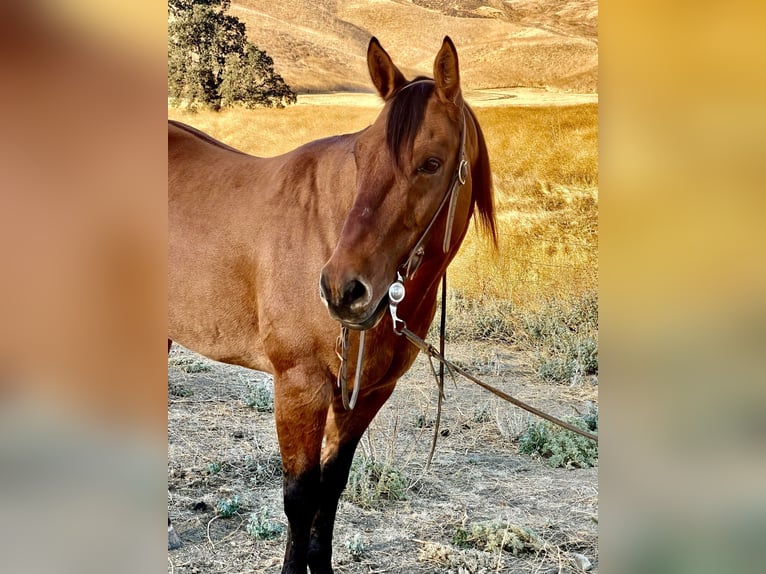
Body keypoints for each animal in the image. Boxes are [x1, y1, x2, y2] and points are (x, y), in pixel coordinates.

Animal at [168, 37, 498, 574]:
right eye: (361, 156)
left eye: (431, 163)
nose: (343, 290)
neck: (326, 226)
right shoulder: (299, 386)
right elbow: (300, 499)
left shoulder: (366, 394)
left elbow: (330, 491)